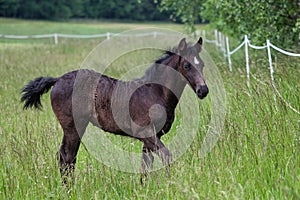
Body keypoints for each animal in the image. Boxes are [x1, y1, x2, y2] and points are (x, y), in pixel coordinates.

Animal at [21, 36, 209, 184]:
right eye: (187, 65)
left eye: (202, 64)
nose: (203, 90)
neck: (155, 92)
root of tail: (58, 79)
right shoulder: (146, 133)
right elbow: (166, 156)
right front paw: (171, 185)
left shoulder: (152, 137)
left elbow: (145, 165)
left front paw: (143, 189)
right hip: (72, 127)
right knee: (67, 157)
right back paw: (69, 189)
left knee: (67, 157)